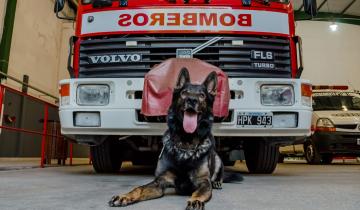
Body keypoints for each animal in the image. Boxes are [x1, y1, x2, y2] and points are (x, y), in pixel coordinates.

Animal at [109, 68, 226, 209]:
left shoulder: (203, 182)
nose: (192, 100)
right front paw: (125, 196)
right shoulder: (160, 182)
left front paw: (195, 200)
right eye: (184, 93)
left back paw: (217, 183)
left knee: (218, 176)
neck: (186, 143)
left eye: (202, 95)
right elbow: (139, 188)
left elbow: (199, 192)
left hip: (218, 159)